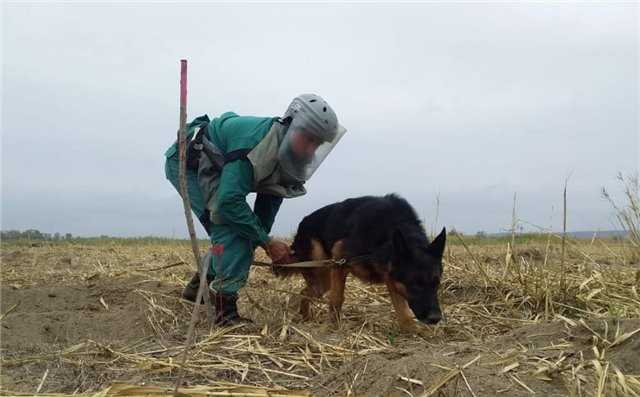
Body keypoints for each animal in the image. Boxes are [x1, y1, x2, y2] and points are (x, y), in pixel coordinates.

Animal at [274, 193, 444, 330]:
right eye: (415, 285)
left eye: (437, 284)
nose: (435, 318)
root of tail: (302, 224)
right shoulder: (340, 261)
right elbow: (337, 299)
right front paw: (333, 329)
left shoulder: (392, 277)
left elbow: (402, 310)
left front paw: (411, 331)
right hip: (322, 265)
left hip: (325, 279)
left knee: (305, 292)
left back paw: (305, 318)